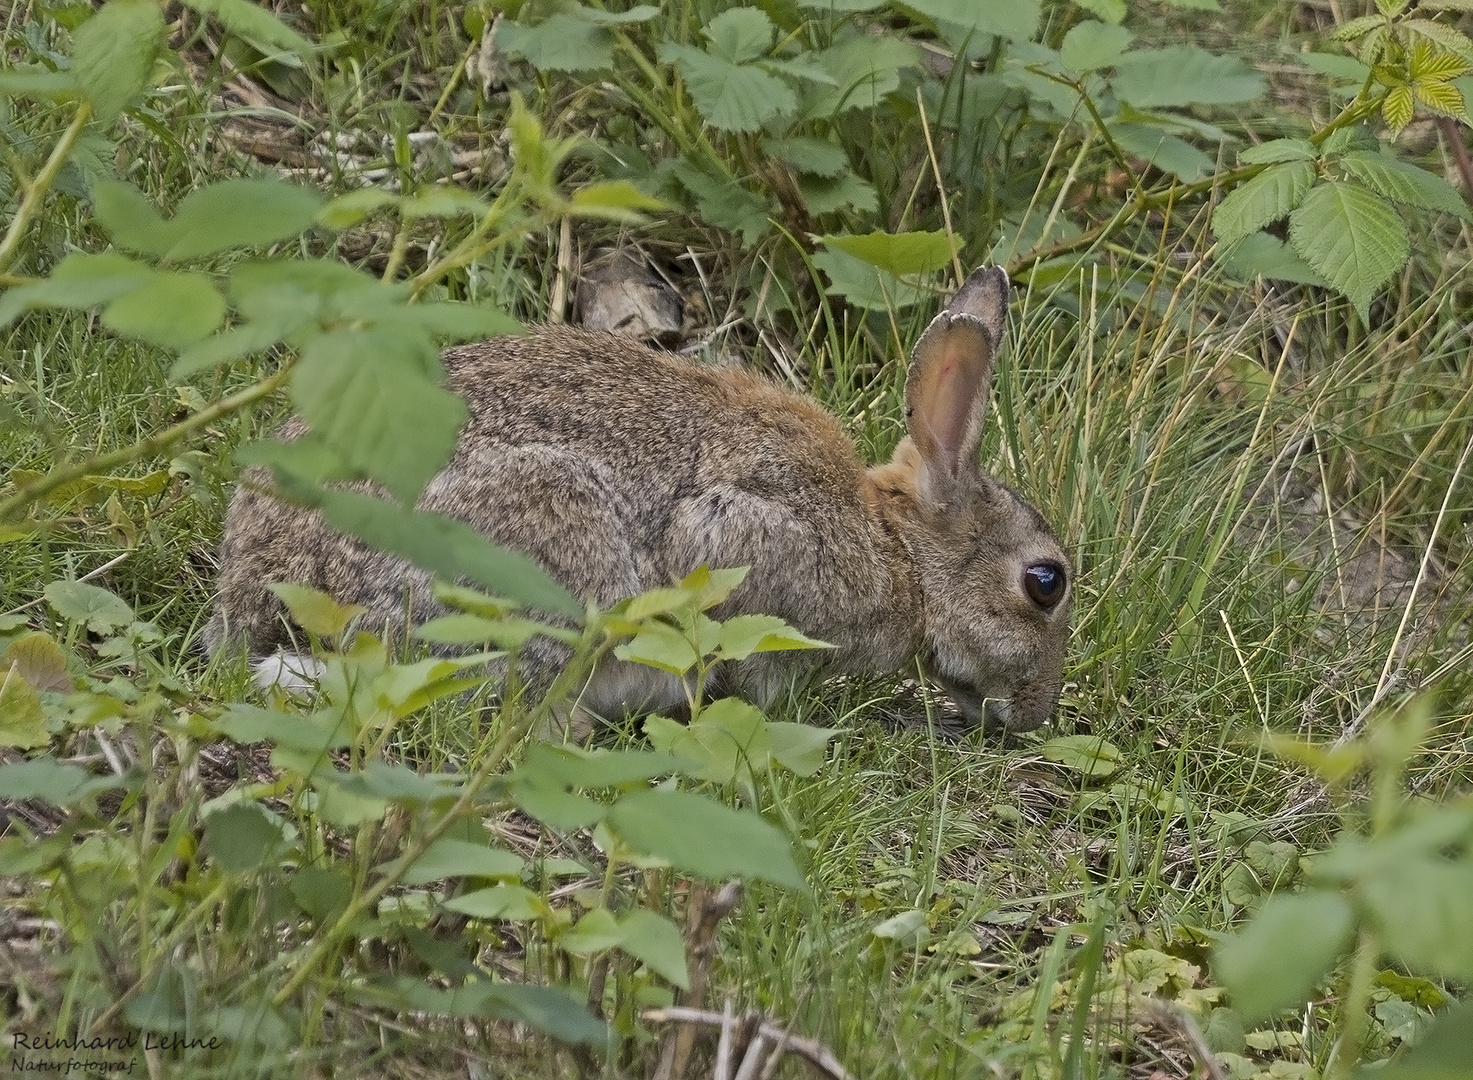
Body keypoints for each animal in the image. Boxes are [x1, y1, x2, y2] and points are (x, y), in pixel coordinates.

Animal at [204, 266, 1072, 736]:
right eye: (1045, 582)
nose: (1035, 712)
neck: (900, 552)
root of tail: (265, 588)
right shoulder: (742, 536)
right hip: (549, 560)